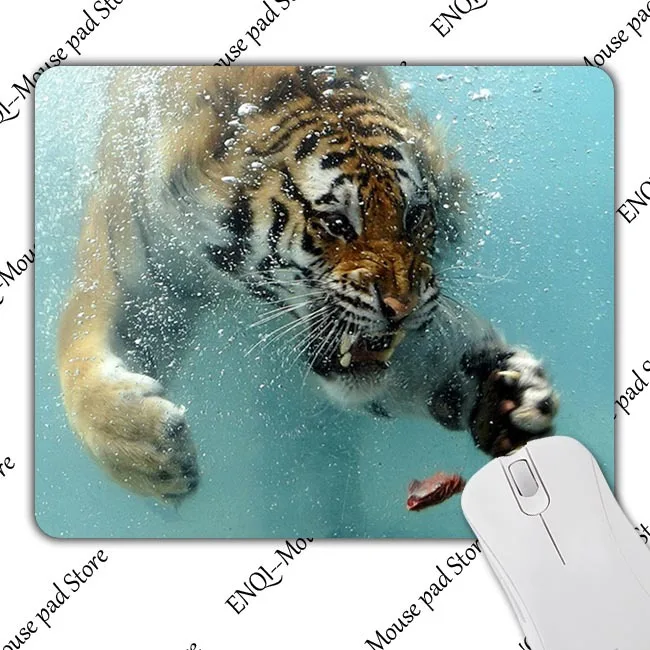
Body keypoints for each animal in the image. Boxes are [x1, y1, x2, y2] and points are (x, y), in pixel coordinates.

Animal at [57, 65, 559, 504]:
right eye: (336, 223)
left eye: (415, 216)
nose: (404, 308)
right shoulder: (136, 280)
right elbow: (77, 360)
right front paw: (147, 449)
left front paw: (507, 391)